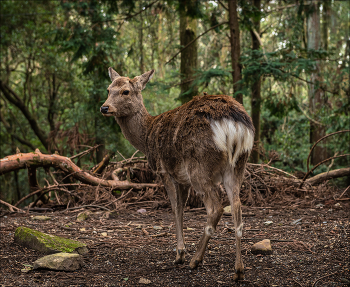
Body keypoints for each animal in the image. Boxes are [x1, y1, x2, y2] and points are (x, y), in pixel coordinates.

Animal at [100, 68, 254, 282]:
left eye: (125, 91)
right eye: (108, 89)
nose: (104, 108)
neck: (146, 137)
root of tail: (235, 125)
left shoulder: (165, 171)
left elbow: (175, 209)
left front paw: (180, 253)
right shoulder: (183, 180)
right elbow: (181, 208)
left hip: (199, 165)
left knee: (216, 208)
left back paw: (195, 260)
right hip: (238, 165)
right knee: (237, 209)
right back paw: (238, 270)